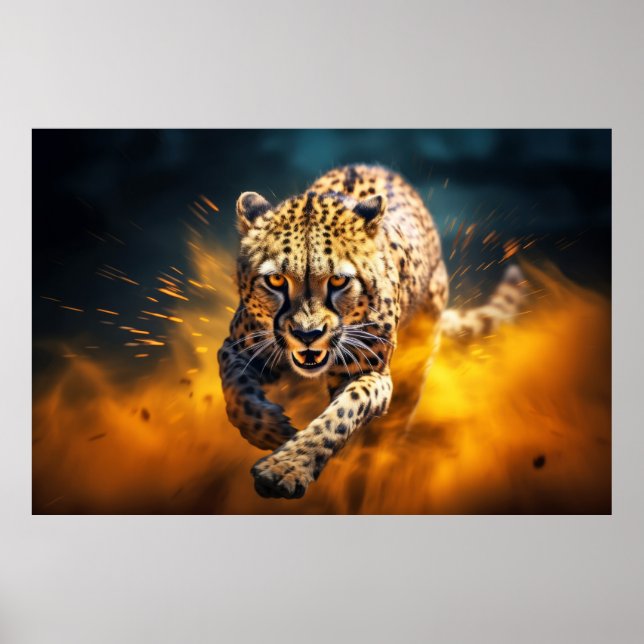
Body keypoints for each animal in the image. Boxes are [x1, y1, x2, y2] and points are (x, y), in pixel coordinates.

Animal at [218, 164, 525, 499]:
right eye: (275, 280)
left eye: (338, 281)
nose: (308, 335)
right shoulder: (236, 348)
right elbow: (236, 391)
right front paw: (271, 429)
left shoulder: (370, 372)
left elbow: (338, 417)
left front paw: (286, 467)